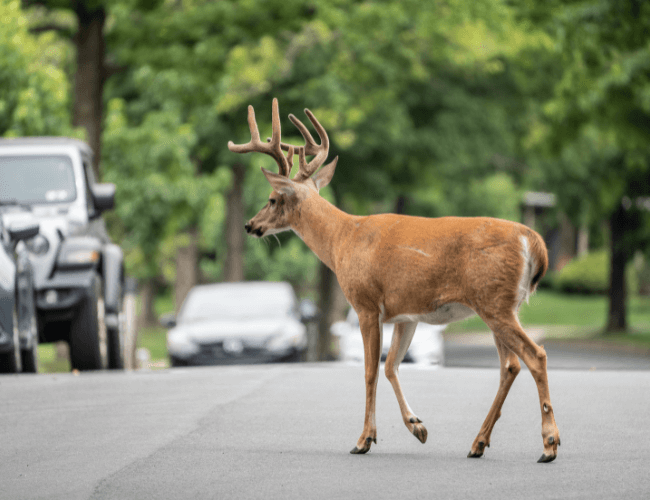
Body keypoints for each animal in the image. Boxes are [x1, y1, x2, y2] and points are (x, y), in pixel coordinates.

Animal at [228, 98, 561, 463]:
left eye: (272, 199)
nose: (250, 225)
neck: (341, 241)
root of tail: (534, 241)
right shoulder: (406, 314)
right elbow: (391, 366)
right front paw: (417, 427)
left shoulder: (365, 303)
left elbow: (370, 371)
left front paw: (364, 440)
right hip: (502, 304)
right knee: (510, 365)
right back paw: (478, 443)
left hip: (494, 302)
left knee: (534, 356)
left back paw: (549, 444)